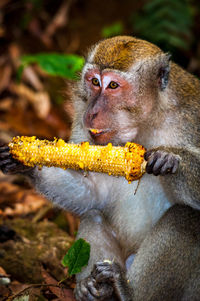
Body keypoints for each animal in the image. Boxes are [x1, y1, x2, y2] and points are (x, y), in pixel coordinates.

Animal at [0, 35, 200, 300]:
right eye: (94, 82)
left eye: (113, 86)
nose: (92, 112)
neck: (146, 123)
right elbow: (93, 192)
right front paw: (25, 161)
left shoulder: (191, 118)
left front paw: (171, 159)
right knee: (93, 216)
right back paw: (97, 290)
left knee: (186, 217)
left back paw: (127, 292)